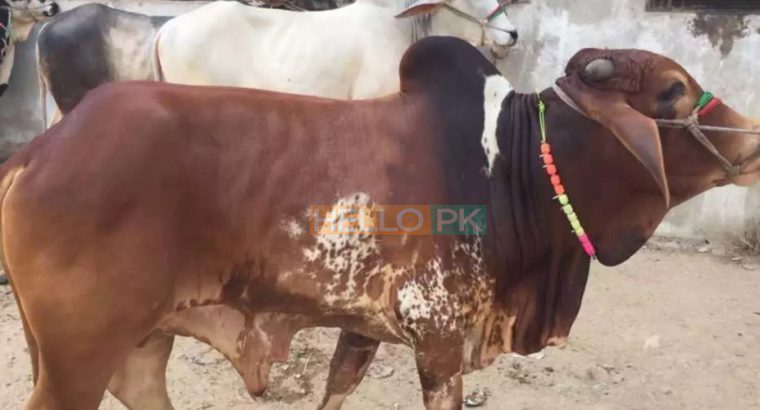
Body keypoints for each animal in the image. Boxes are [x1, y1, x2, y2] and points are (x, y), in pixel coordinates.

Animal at [2, 37, 759, 409]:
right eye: (673, 91)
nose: (751, 139)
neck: (509, 165)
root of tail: (38, 152)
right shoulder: (441, 341)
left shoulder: (363, 330)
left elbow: (335, 389)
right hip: (77, 357)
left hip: (142, 339)